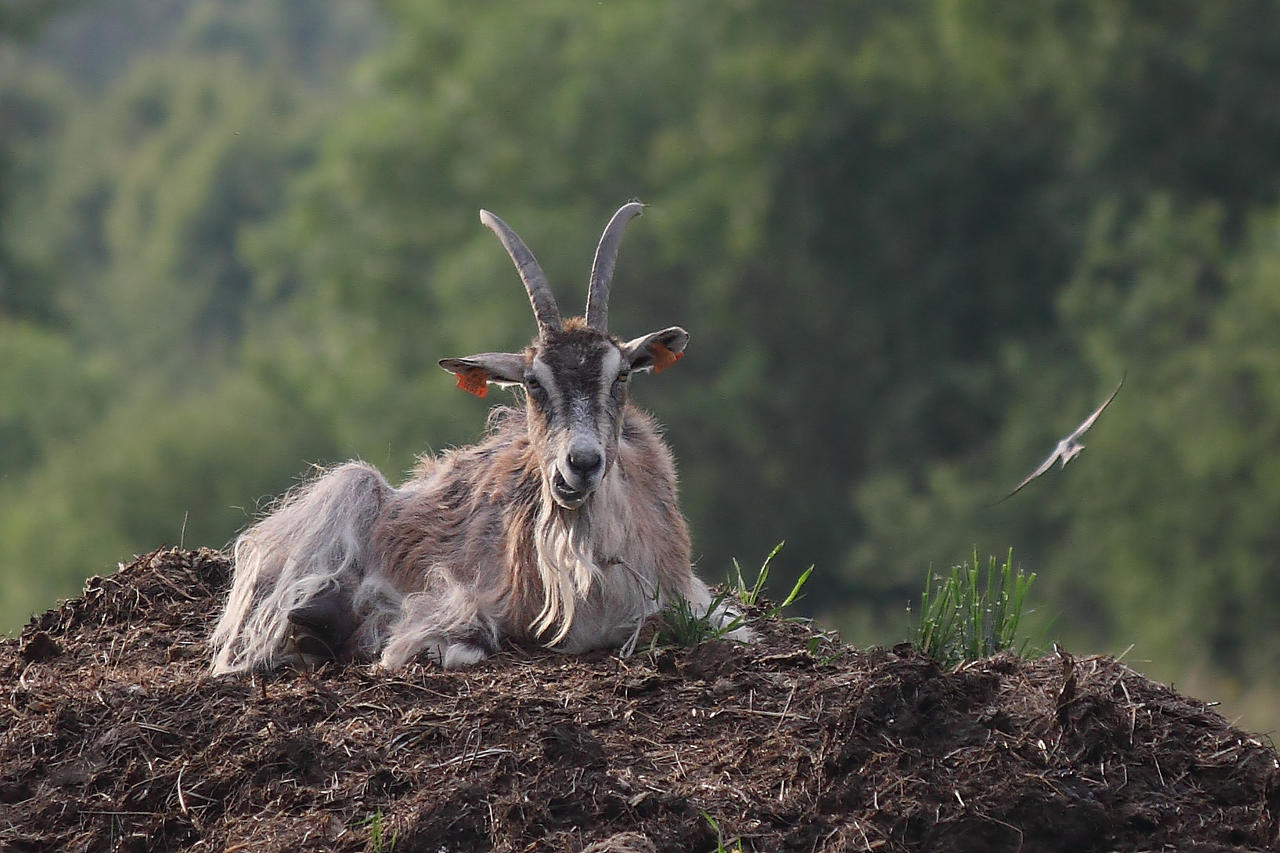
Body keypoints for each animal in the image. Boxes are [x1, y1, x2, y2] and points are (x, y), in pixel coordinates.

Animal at [209, 201, 747, 671]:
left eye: (621, 376)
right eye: (534, 382)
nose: (580, 465)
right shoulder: (460, 595)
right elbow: (452, 639)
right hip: (348, 488)